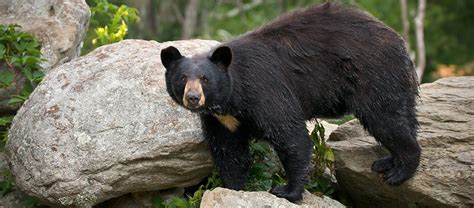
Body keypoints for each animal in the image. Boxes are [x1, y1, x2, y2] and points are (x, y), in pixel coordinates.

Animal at [161, 2, 420, 202]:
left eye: (205, 78)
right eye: (182, 78)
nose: (193, 98)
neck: (232, 98)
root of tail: (399, 41)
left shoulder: (264, 90)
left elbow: (289, 135)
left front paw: (287, 191)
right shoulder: (221, 119)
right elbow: (228, 150)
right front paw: (234, 187)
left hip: (373, 75)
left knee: (385, 119)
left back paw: (399, 171)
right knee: (403, 117)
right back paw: (388, 162)